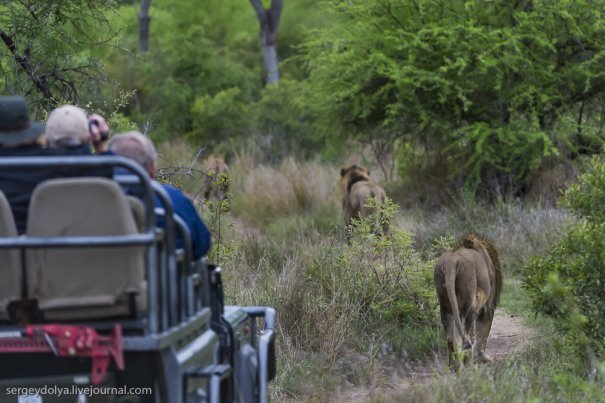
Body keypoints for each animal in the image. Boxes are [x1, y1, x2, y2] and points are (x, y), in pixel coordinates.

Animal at [432, 235, 502, 370]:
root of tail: (452, 262)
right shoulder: (487, 307)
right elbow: (482, 334)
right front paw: (482, 358)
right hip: (469, 306)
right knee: (467, 339)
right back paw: (469, 367)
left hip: (446, 306)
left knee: (451, 339)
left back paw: (454, 367)